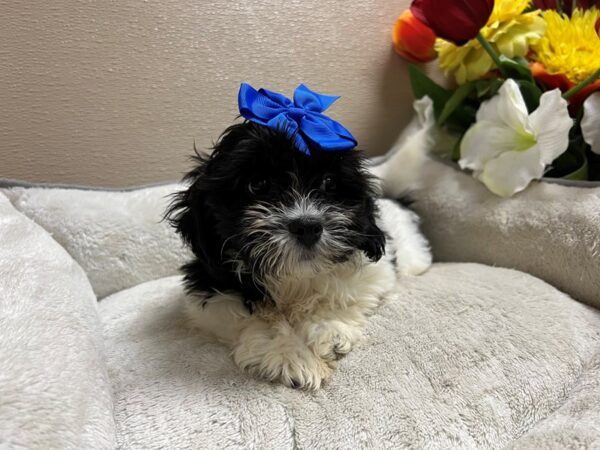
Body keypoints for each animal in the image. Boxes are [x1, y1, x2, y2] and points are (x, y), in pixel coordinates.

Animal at [166, 121, 432, 388]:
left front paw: (330, 332)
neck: (294, 276)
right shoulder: (209, 288)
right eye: (258, 184)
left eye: (329, 182)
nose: (307, 226)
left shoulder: (375, 271)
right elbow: (248, 318)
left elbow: (344, 295)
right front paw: (292, 356)